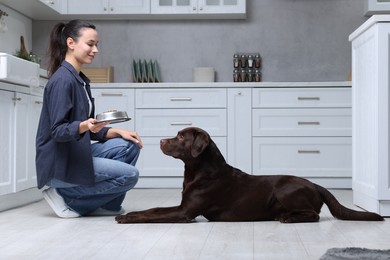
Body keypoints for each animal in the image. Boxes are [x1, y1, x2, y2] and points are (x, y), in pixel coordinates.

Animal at [116, 127, 384, 222]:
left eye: (181, 137)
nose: (161, 140)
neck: (199, 171)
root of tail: (317, 185)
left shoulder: (185, 213)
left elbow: (152, 216)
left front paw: (127, 219)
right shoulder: (182, 206)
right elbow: (153, 210)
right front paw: (130, 214)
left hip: (285, 189)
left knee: (314, 214)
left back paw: (288, 218)